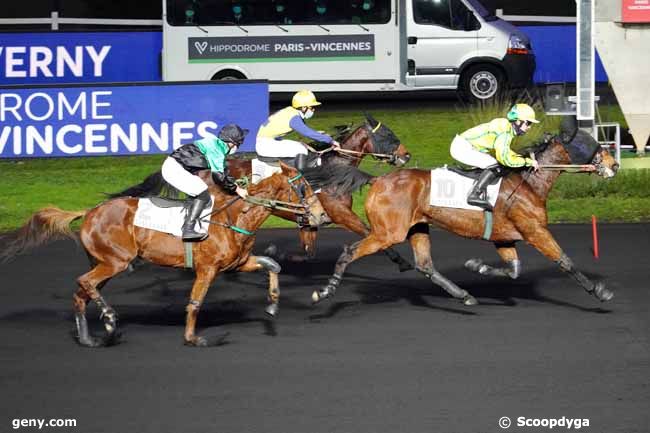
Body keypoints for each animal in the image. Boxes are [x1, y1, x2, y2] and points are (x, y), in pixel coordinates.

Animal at [0, 164, 324, 346]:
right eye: (304, 187)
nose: (321, 215)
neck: (234, 215)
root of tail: (89, 211)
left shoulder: (238, 263)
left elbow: (273, 265)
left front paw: (272, 306)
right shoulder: (207, 269)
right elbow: (195, 302)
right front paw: (194, 338)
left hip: (103, 262)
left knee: (81, 293)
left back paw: (89, 338)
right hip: (115, 261)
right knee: (85, 283)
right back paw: (109, 320)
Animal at [312, 133, 616, 306]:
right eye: (587, 142)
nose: (613, 164)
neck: (530, 183)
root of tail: (377, 180)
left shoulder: (505, 238)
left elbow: (513, 270)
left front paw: (476, 266)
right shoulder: (535, 230)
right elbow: (565, 261)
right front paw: (599, 292)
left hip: (417, 227)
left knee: (426, 265)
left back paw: (464, 295)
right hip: (388, 233)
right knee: (349, 251)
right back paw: (325, 291)